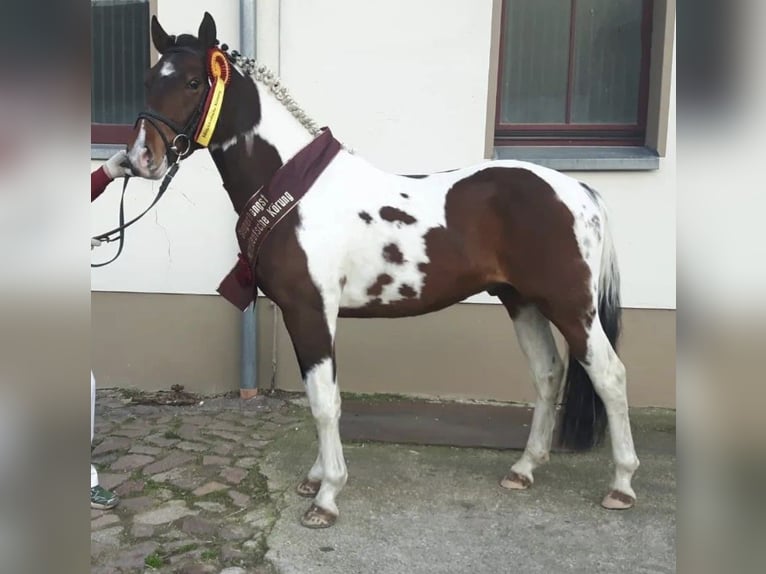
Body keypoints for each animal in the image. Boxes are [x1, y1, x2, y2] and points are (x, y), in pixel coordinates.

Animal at [126, 11, 640, 532]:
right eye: (147, 80)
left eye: (193, 82)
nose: (142, 158)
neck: (294, 191)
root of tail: (578, 190)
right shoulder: (302, 314)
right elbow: (319, 396)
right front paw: (316, 479)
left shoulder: (311, 310)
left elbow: (324, 402)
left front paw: (327, 496)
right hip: (523, 301)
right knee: (547, 374)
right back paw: (524, 469)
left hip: (570, 305)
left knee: (609, 375)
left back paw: (621, 484)